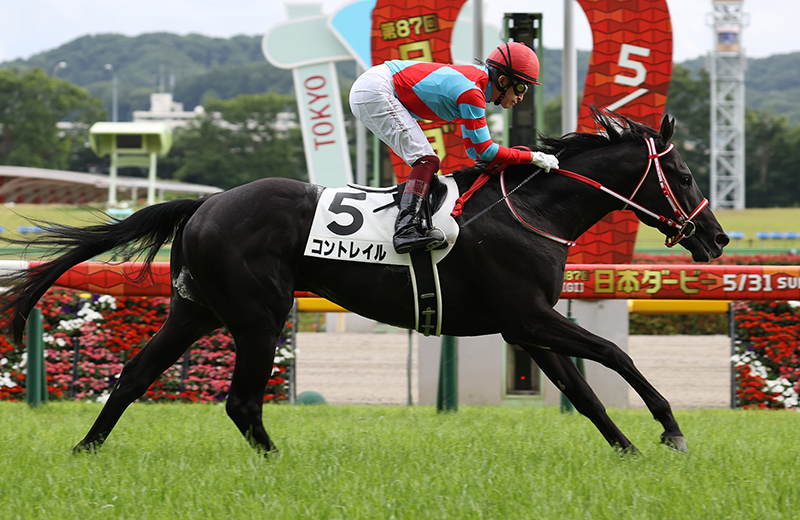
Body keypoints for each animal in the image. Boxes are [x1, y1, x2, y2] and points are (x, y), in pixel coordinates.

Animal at [0, 109, 729, 455]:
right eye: (686, 174)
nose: (718, 239)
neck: (532, 212)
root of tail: (204, 204)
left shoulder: (526, 326)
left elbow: (585, 393)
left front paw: (628, 449)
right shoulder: (527, 316)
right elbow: (613, 355)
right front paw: (669, 429)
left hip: (196, 310)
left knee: (133, 375)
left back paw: (85, 449)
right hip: (260, 314)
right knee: (240, 403)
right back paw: (280, 463)